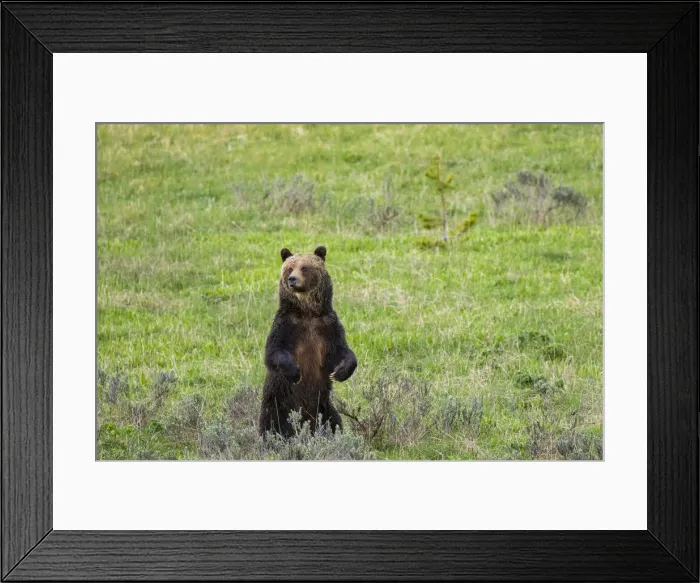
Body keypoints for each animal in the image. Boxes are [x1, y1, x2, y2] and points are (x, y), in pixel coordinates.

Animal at [258, 245, 357, 437]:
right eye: (290, 268)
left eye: (304, 267)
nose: (292, 279)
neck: (308, 312)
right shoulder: (286, 325)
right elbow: (274, 351)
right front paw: (295, 372)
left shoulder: (327, 326)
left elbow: (340, 351)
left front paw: (340, 372)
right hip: (278, 403)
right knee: (272, 424)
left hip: (323, 407)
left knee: (334, 421)